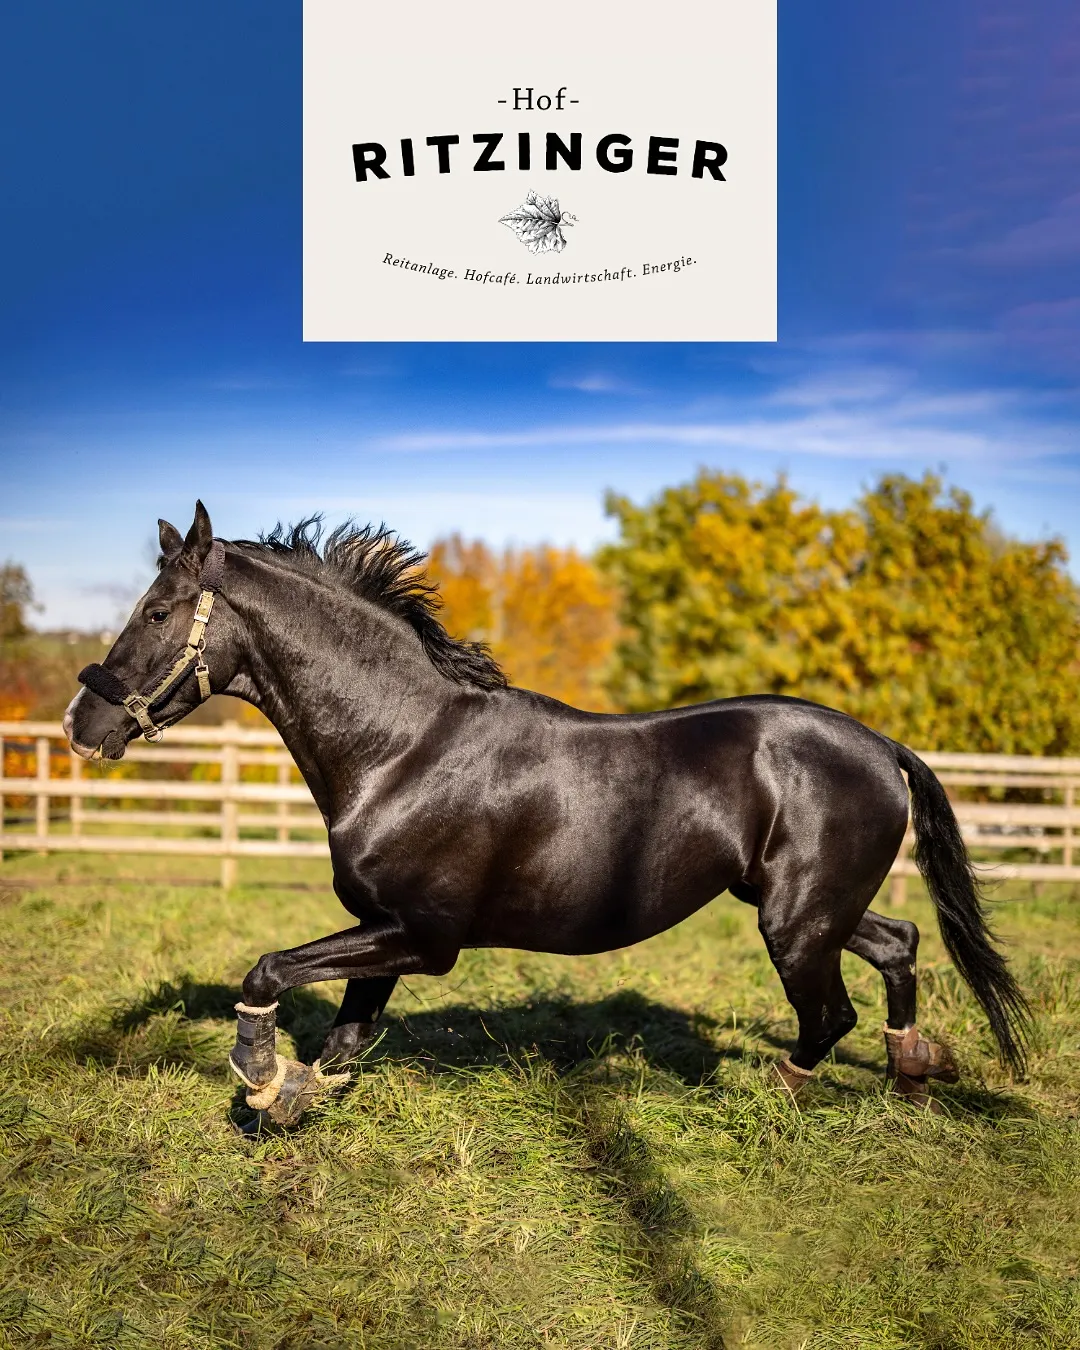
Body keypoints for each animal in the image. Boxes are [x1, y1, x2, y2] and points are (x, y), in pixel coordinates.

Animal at [65, 502, 1030, 1126]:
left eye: (156, 611)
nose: (82, 724)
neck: (404, 748)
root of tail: (881, 745)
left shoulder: (424, 937)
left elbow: (271, 972)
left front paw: (262, 1079)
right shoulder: (384, 929)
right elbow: (342, 1043)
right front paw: (289, 1098)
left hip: (794, 924)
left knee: (831, 1017)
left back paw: (779, 1100)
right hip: (805, 906)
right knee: (900, 943)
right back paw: (913, 1081)